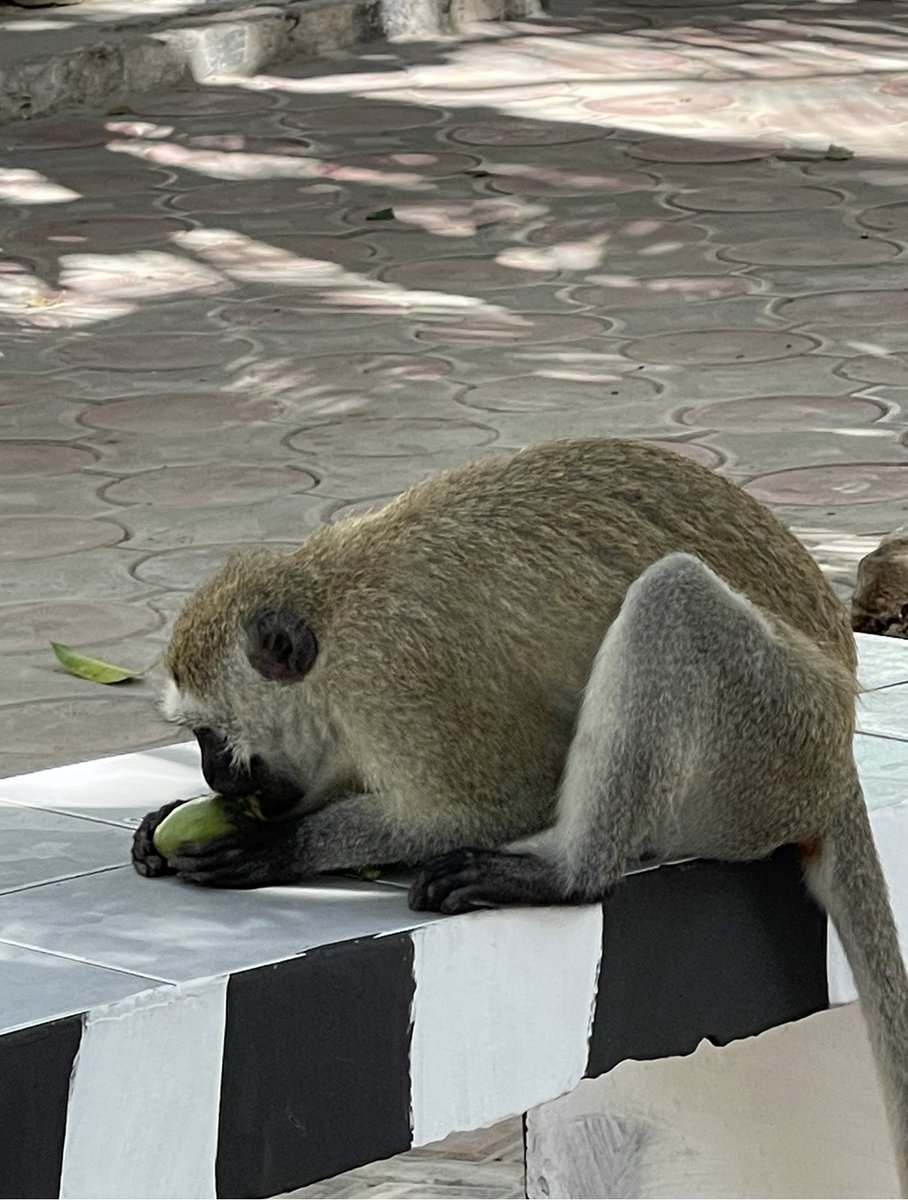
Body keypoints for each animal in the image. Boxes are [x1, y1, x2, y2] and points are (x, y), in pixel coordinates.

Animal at [132, 437, 908, 1193]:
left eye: (209, 736)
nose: (212, 774)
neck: (331, 607)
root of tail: (835, 756)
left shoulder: (397, 676)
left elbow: (504, 796)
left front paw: (274, 844)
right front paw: (170, 820)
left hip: (772, 743)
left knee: (673, 598)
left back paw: (566, 874)